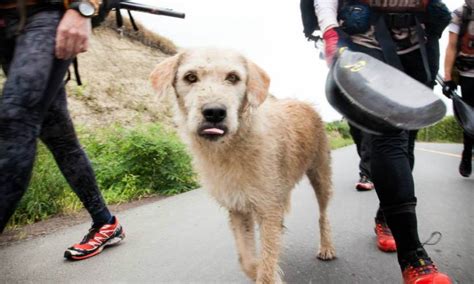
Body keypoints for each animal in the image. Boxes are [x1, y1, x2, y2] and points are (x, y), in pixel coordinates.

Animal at [150, 47, 336, 282]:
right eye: (190, 77)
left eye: (233, 77)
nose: (214, 112)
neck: (232, 147)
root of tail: (305, 103)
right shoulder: (238, 209)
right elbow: (249, 261)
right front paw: (265, 270)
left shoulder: (268, 207)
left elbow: (266, 262)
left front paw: (269, 273)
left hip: (321, 176)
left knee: (323, 215)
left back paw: (326, 246)